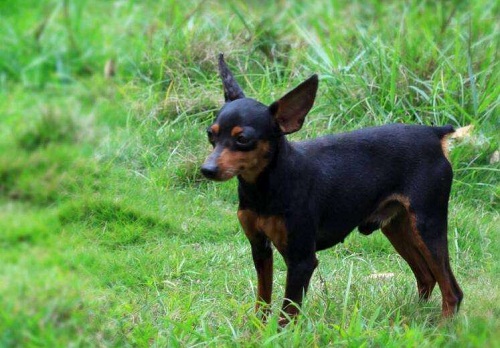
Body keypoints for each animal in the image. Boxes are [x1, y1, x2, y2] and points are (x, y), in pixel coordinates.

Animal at [201, 54, 462, 326]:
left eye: (243, 139)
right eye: (211, 135)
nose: (206, 169)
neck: (265, 187)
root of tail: (433, 133)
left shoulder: (301, 261)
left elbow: (288, 313)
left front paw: (280, 333)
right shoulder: (260, 249)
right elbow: (263, 300)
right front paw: (258, 329)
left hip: (426, 226)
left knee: (452, 291)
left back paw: (443, 327)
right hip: (398, 227)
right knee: (427, 277)